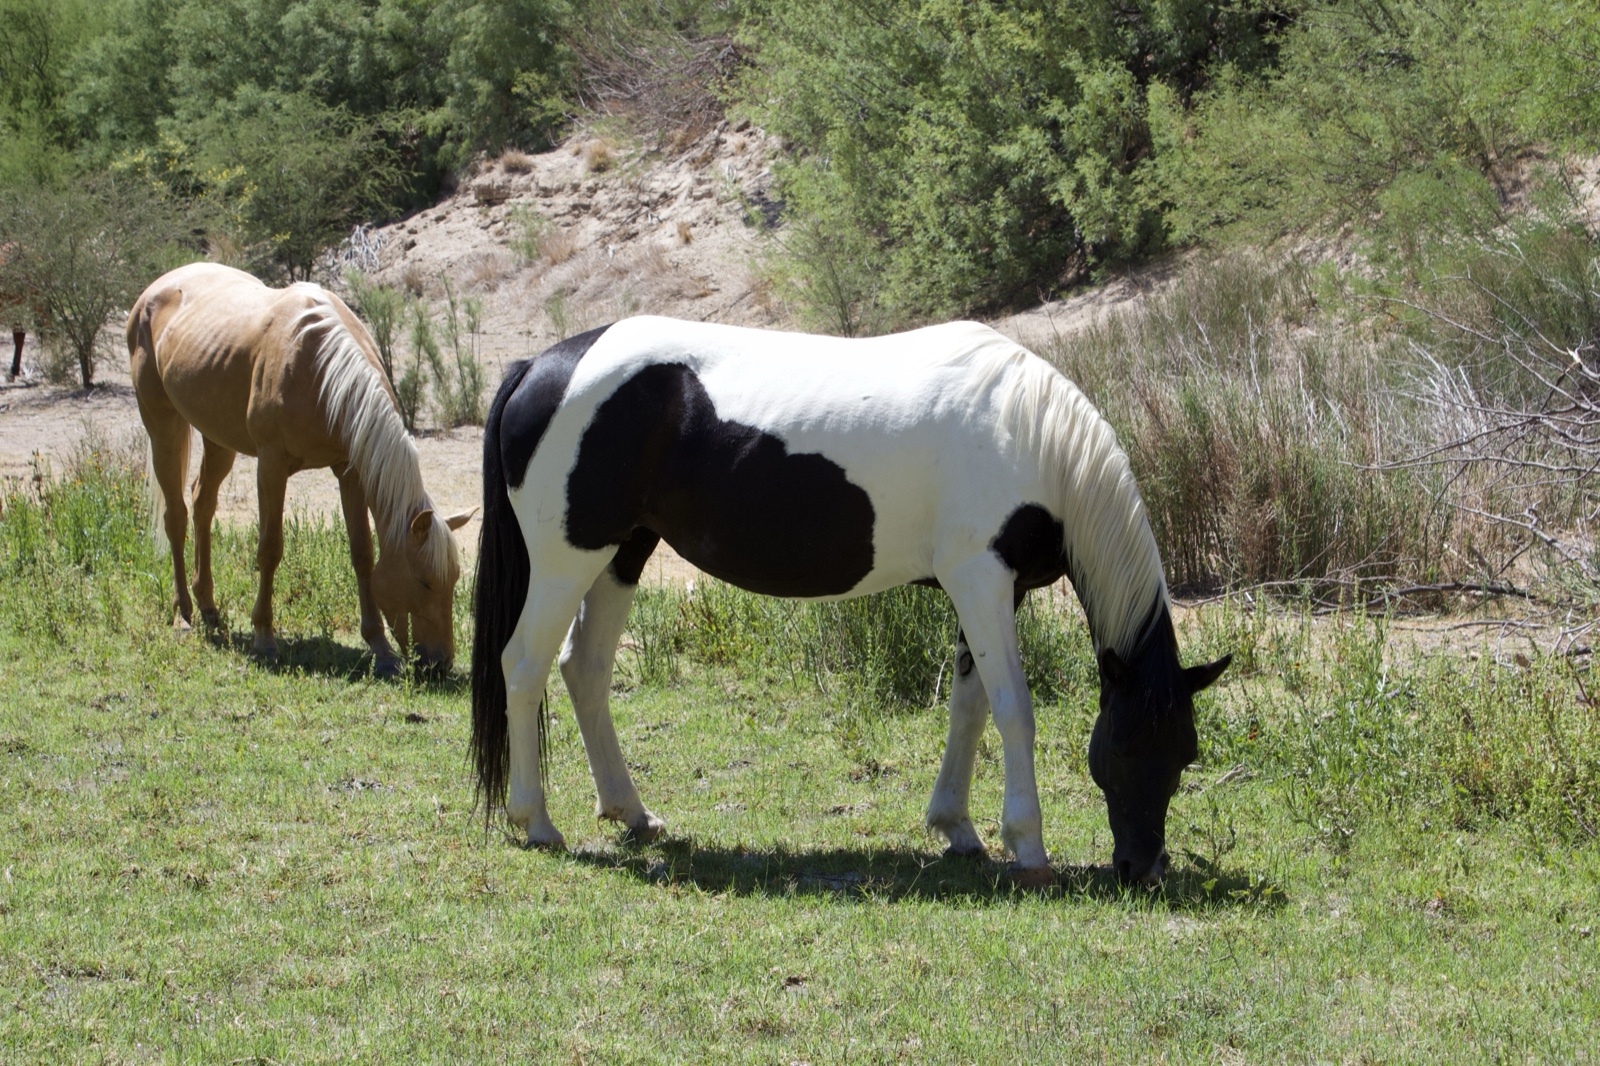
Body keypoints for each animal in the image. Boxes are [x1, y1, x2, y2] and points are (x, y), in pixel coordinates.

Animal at [127, 262, 472, 676]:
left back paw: (209, 608)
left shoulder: (349, 470)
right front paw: (264, 637)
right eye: (424, 582)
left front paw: (381, 648)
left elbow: (362, 554)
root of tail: (154, 289)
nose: (441, 663)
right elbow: (269, 549)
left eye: (454, 580)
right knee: (176, 516)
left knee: (202, 505)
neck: (322, 369)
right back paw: (184, 615)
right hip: (163, 425)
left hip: (218, 437)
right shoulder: (271, 466)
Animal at [470, 316, 1230, 886]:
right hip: (568, 560)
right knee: (524, 666)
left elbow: (970, 705)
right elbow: (1014, 709)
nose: (1141, 869)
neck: (1030, 436)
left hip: (623, 553)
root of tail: (540, 365)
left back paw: (631, 812)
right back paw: (535, 821)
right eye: (1123, 747)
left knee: (586, 669)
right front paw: (1028, 846)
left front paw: (956, 828)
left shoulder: (994, 589)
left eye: (1186, 753)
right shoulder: (980, 577)